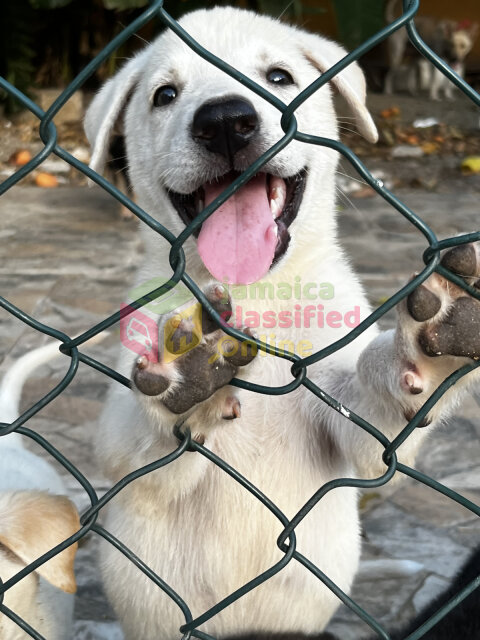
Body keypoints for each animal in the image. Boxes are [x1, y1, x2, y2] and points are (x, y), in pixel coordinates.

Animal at [84, 6, 480, 640]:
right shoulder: (120, 454)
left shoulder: (360, 437)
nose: (225, 121)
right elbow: (142, 434)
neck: (254, 294)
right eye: (164, 95)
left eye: (278, 77)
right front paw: (188, 374)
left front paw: (436, 344)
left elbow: (376, 401)